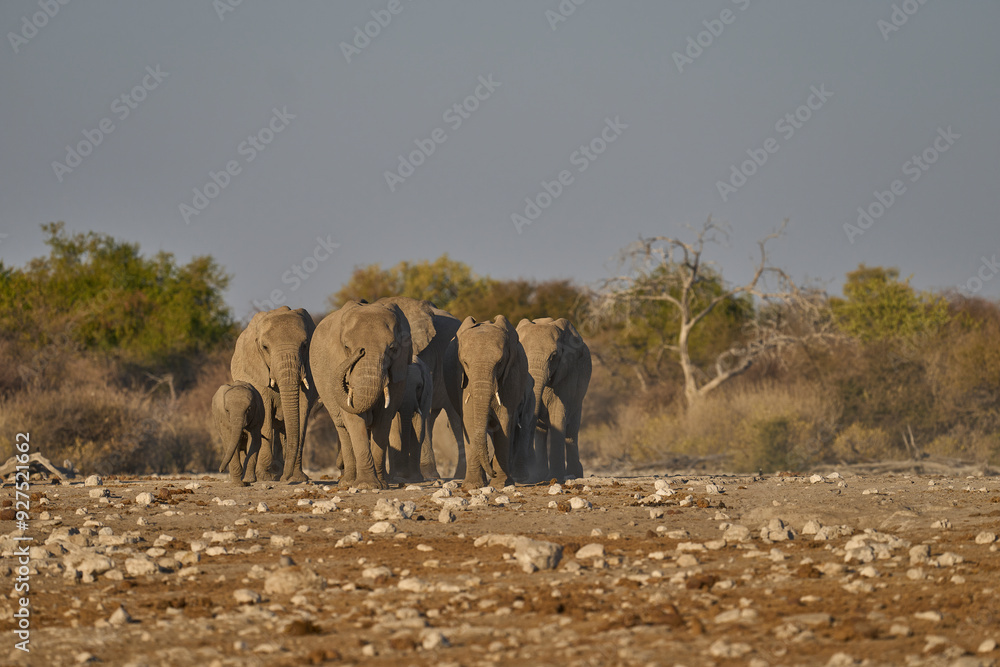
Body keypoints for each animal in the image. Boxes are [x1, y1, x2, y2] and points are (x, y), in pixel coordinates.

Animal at [231, 306, 316, 482]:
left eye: (305, 345)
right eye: (265, 347)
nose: (285, 478)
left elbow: (302, 412)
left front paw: (298, 478)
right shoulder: (257, 371)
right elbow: (265, 413)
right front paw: (264, 475)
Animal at [310, 299, 412, 490]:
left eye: (392, 348)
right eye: (346, 347)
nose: (360, 351)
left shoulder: (399, 368)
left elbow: (383, 419)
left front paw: (379, 485)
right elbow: (353, 418)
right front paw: (366, 486)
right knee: (342, 429)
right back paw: (348, 482)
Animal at [444, 315, 530, 489]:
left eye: (500, 362)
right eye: (465, 363)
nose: (493, 472)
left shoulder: (511, 375)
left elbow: (504, 420)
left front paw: (501, 483)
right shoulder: (462, 378)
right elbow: (470, 421)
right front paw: (473, 486)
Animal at [516, 317, 592, 481]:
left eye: (553, 356)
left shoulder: (568, 371)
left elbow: (558, 413)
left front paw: (556, 477)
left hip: (579, 398)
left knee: (571, 430)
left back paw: (575, 474)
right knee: (541, 430)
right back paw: (539, 475)